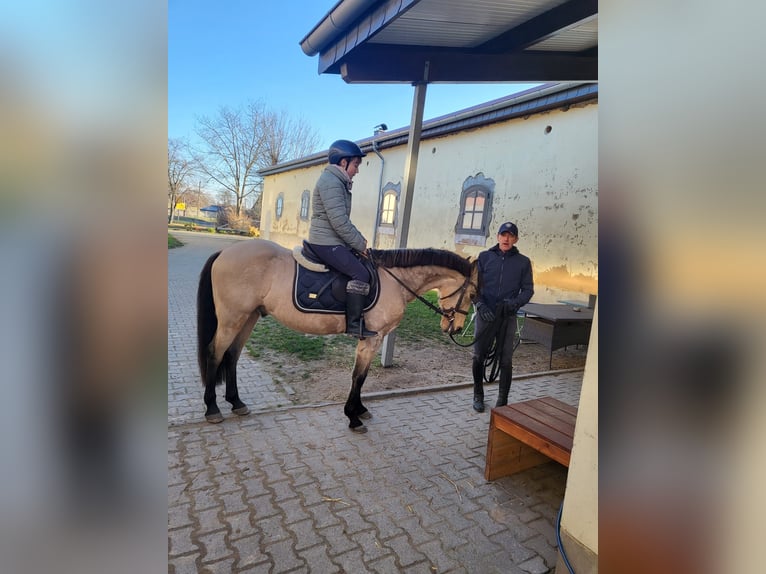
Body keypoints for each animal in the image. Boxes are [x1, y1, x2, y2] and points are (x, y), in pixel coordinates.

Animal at [197, 238, 478, 432]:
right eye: (473, 294)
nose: (455, 328)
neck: (395, 281)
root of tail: (225, 252)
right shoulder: (371, 338)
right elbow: (359, 376)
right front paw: (353, 416)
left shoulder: (374, 340)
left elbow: (362, 376)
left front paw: (360, 410)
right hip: (232, 319)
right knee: (215, 353)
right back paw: (212, 408)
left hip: (249, 317)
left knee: (232, 356)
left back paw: (236, 403)